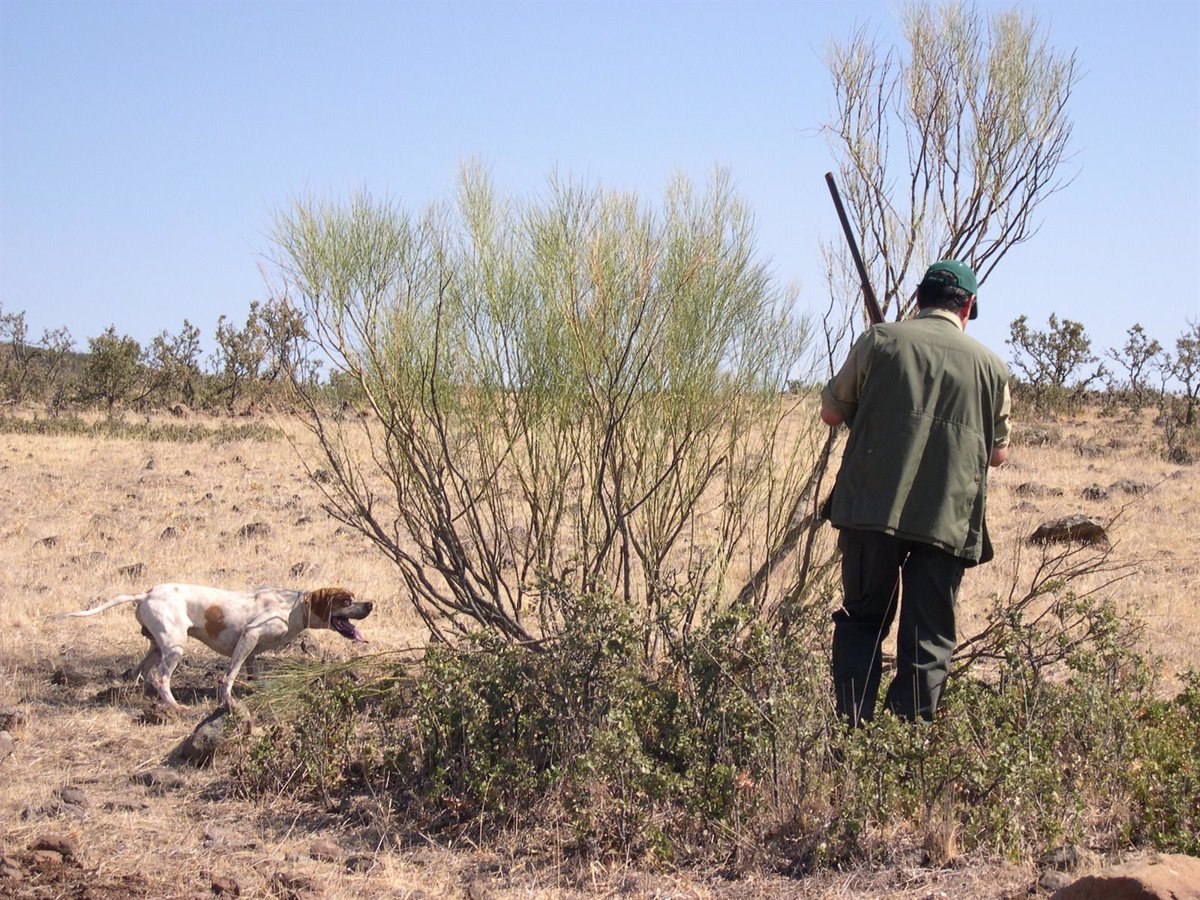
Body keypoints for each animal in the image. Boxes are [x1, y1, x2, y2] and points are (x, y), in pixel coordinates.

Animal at [55, 585, 369, 710]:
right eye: (346, 600)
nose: (370, 604)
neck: (294, 607)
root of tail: (146, 594)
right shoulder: (249, 636)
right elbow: (228, 676)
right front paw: (227, 701)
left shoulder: (253, 652)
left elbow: (256, 677)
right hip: (174, 647)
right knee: (160, 677)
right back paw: (174, 706)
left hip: (156, 646)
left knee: (137, 672)